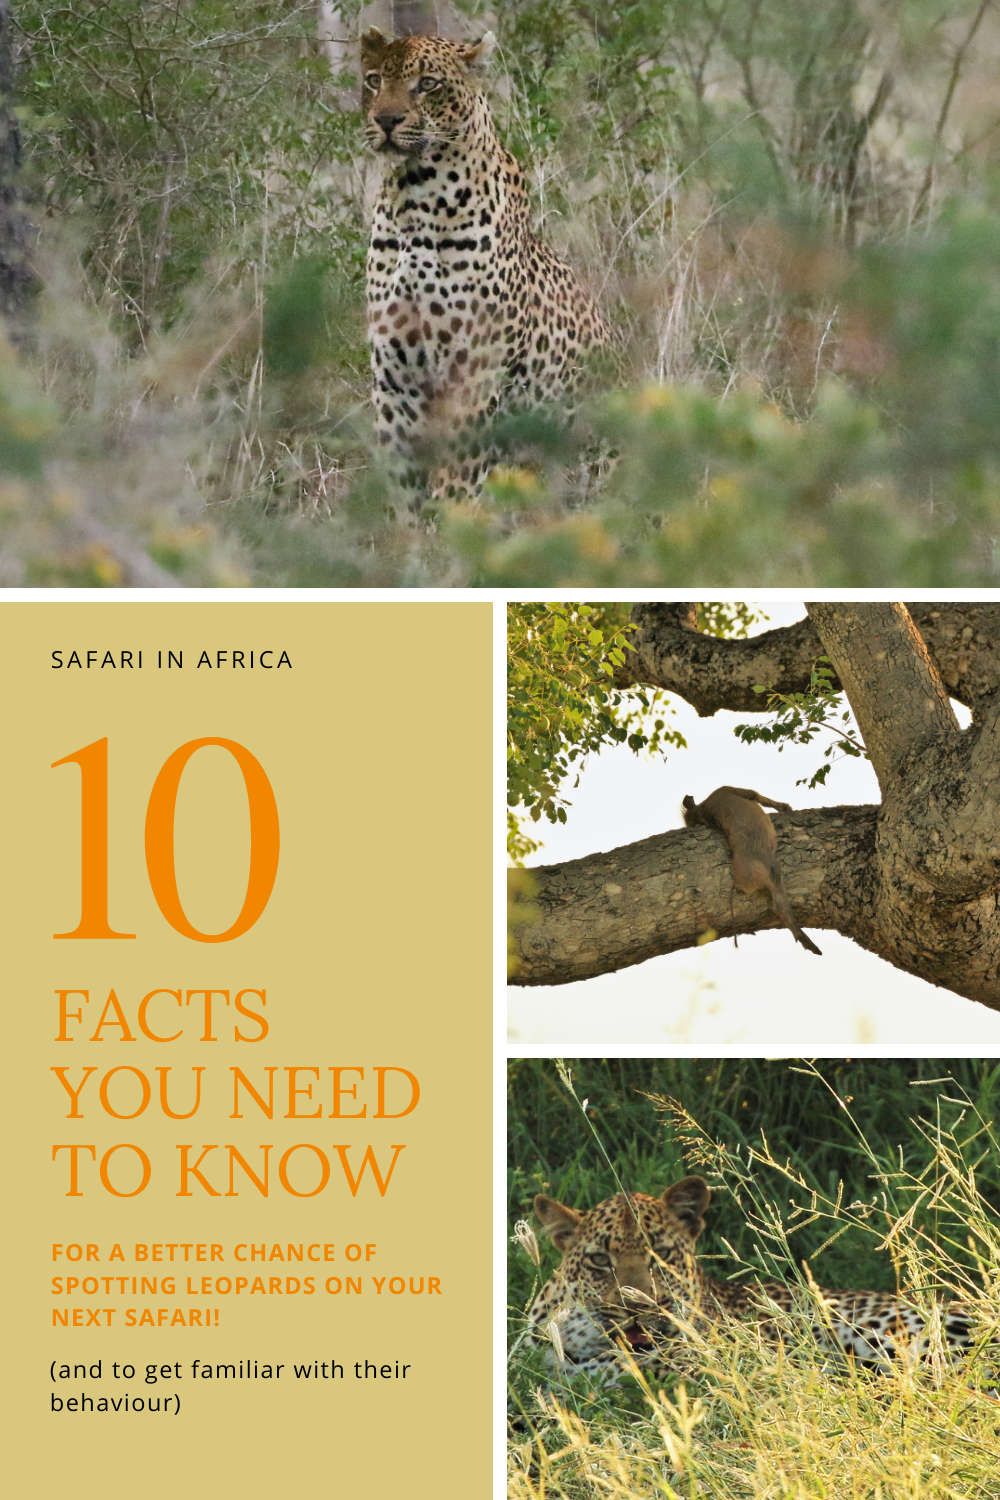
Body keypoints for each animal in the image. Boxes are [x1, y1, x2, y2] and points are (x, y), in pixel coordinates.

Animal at [360, 28, 608, 506]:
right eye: (373, 80)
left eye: (428, 84)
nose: (386, 121)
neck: (412, 198)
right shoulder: (395, 380)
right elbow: (403, 486)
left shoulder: (472, 372)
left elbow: (456, 480)